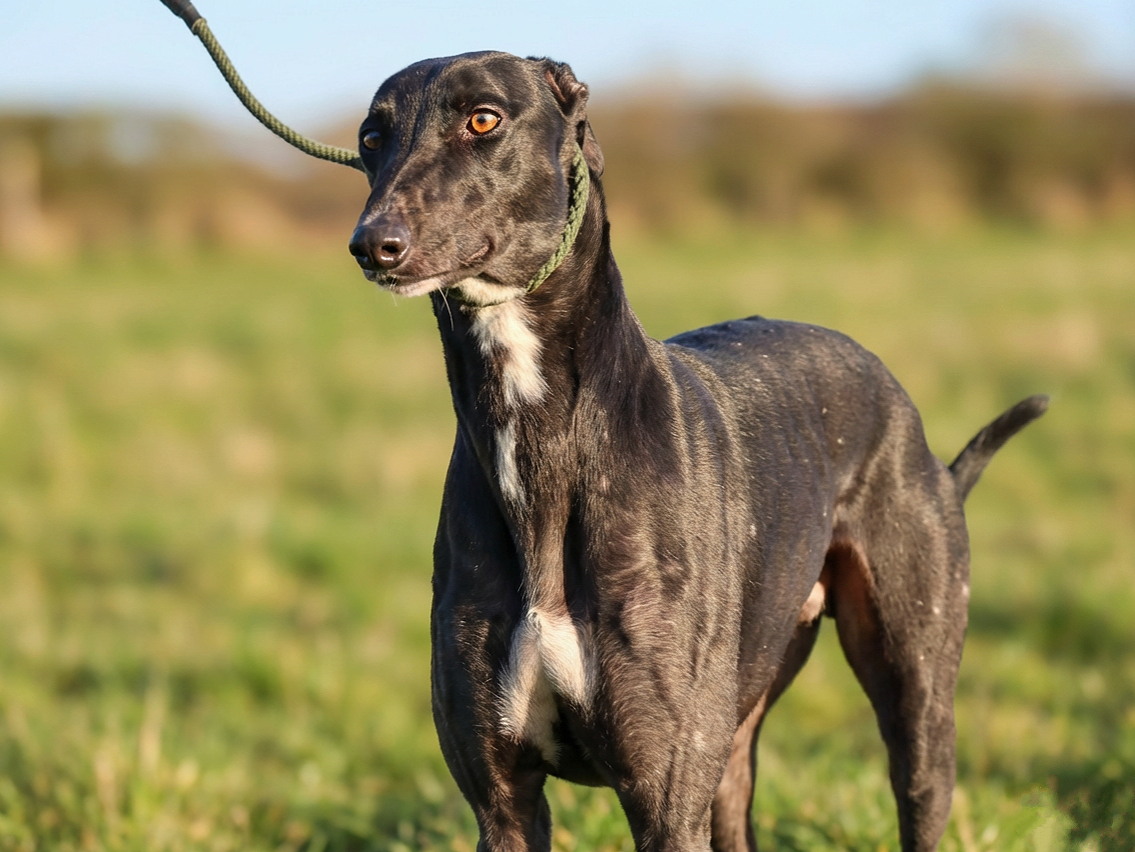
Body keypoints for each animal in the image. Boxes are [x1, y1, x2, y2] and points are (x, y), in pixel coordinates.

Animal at [347, 52, 1048, 852]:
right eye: (371, 137)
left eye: (483, 118)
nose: (374, 244)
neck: (546, 443)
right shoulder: (502, 802)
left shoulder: (665, 795)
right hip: (746, 714)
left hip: (917, 691)